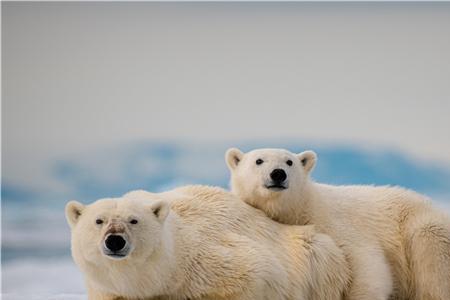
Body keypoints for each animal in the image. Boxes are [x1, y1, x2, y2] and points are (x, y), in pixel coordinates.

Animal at [65, 185, 350, 300]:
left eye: (133, 220)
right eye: (99, 220)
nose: (115, 241)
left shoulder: (212, 260)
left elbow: (256, 273)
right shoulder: (108, 289)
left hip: (315, 257)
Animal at [227, 148, 450, 300]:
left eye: (289, 162)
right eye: (259, 160)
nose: (278, 173)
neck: (306, 207)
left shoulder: (338, 225)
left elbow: (369, 265)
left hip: (423, 229)